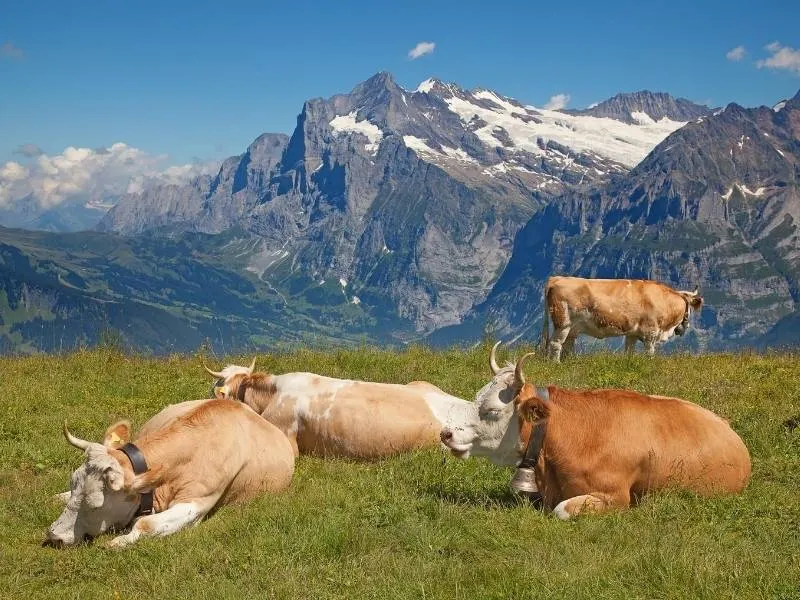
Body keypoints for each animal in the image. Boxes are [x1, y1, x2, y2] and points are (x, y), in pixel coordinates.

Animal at [43, 398, 294, 548]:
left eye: (95, 506)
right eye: (73, 484)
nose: (54, 535)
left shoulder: (197, 502)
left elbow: (144, 524)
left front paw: (120, 541)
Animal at [540, 276, 704, 360]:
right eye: (689, 308)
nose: (685, 327)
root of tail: (557, 278)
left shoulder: (632, 333)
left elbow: (629, 352)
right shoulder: (650, 333)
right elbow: (650, 353)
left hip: (573, 328)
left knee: (567, 345)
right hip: (563, 323)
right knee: (555, 344)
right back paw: (556, 364)